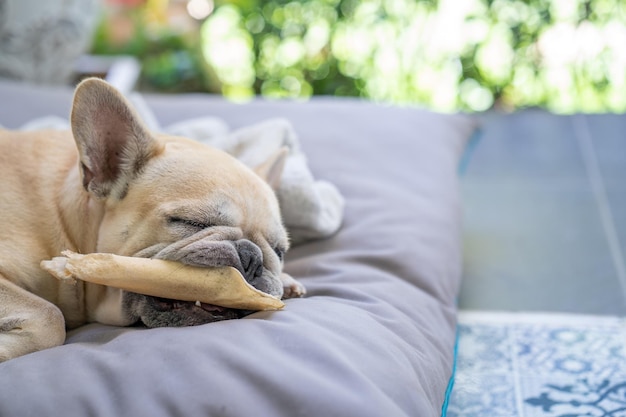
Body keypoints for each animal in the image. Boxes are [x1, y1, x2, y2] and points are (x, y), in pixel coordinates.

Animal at [0, 78, 302, 360]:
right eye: (190, 222)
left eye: (279, 251)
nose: (252, 256)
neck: (68, 220)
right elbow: (50, 315)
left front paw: (286, 280)